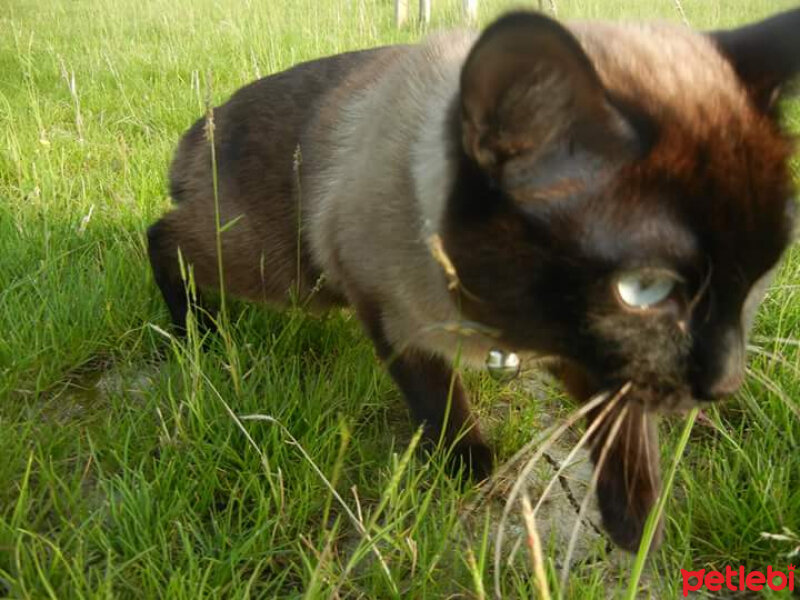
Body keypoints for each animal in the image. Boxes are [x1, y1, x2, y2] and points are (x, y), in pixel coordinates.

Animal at [147, 9, 796, 552]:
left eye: (759, 276)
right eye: (645, 289)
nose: (726, 381)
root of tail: (202, 126)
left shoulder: (590, 353)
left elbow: (625, 433)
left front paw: (639, 528)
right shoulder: (390, 315)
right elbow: (438, 399)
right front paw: (468, 464)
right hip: (282, 271)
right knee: (163, 235)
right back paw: (195, 330)